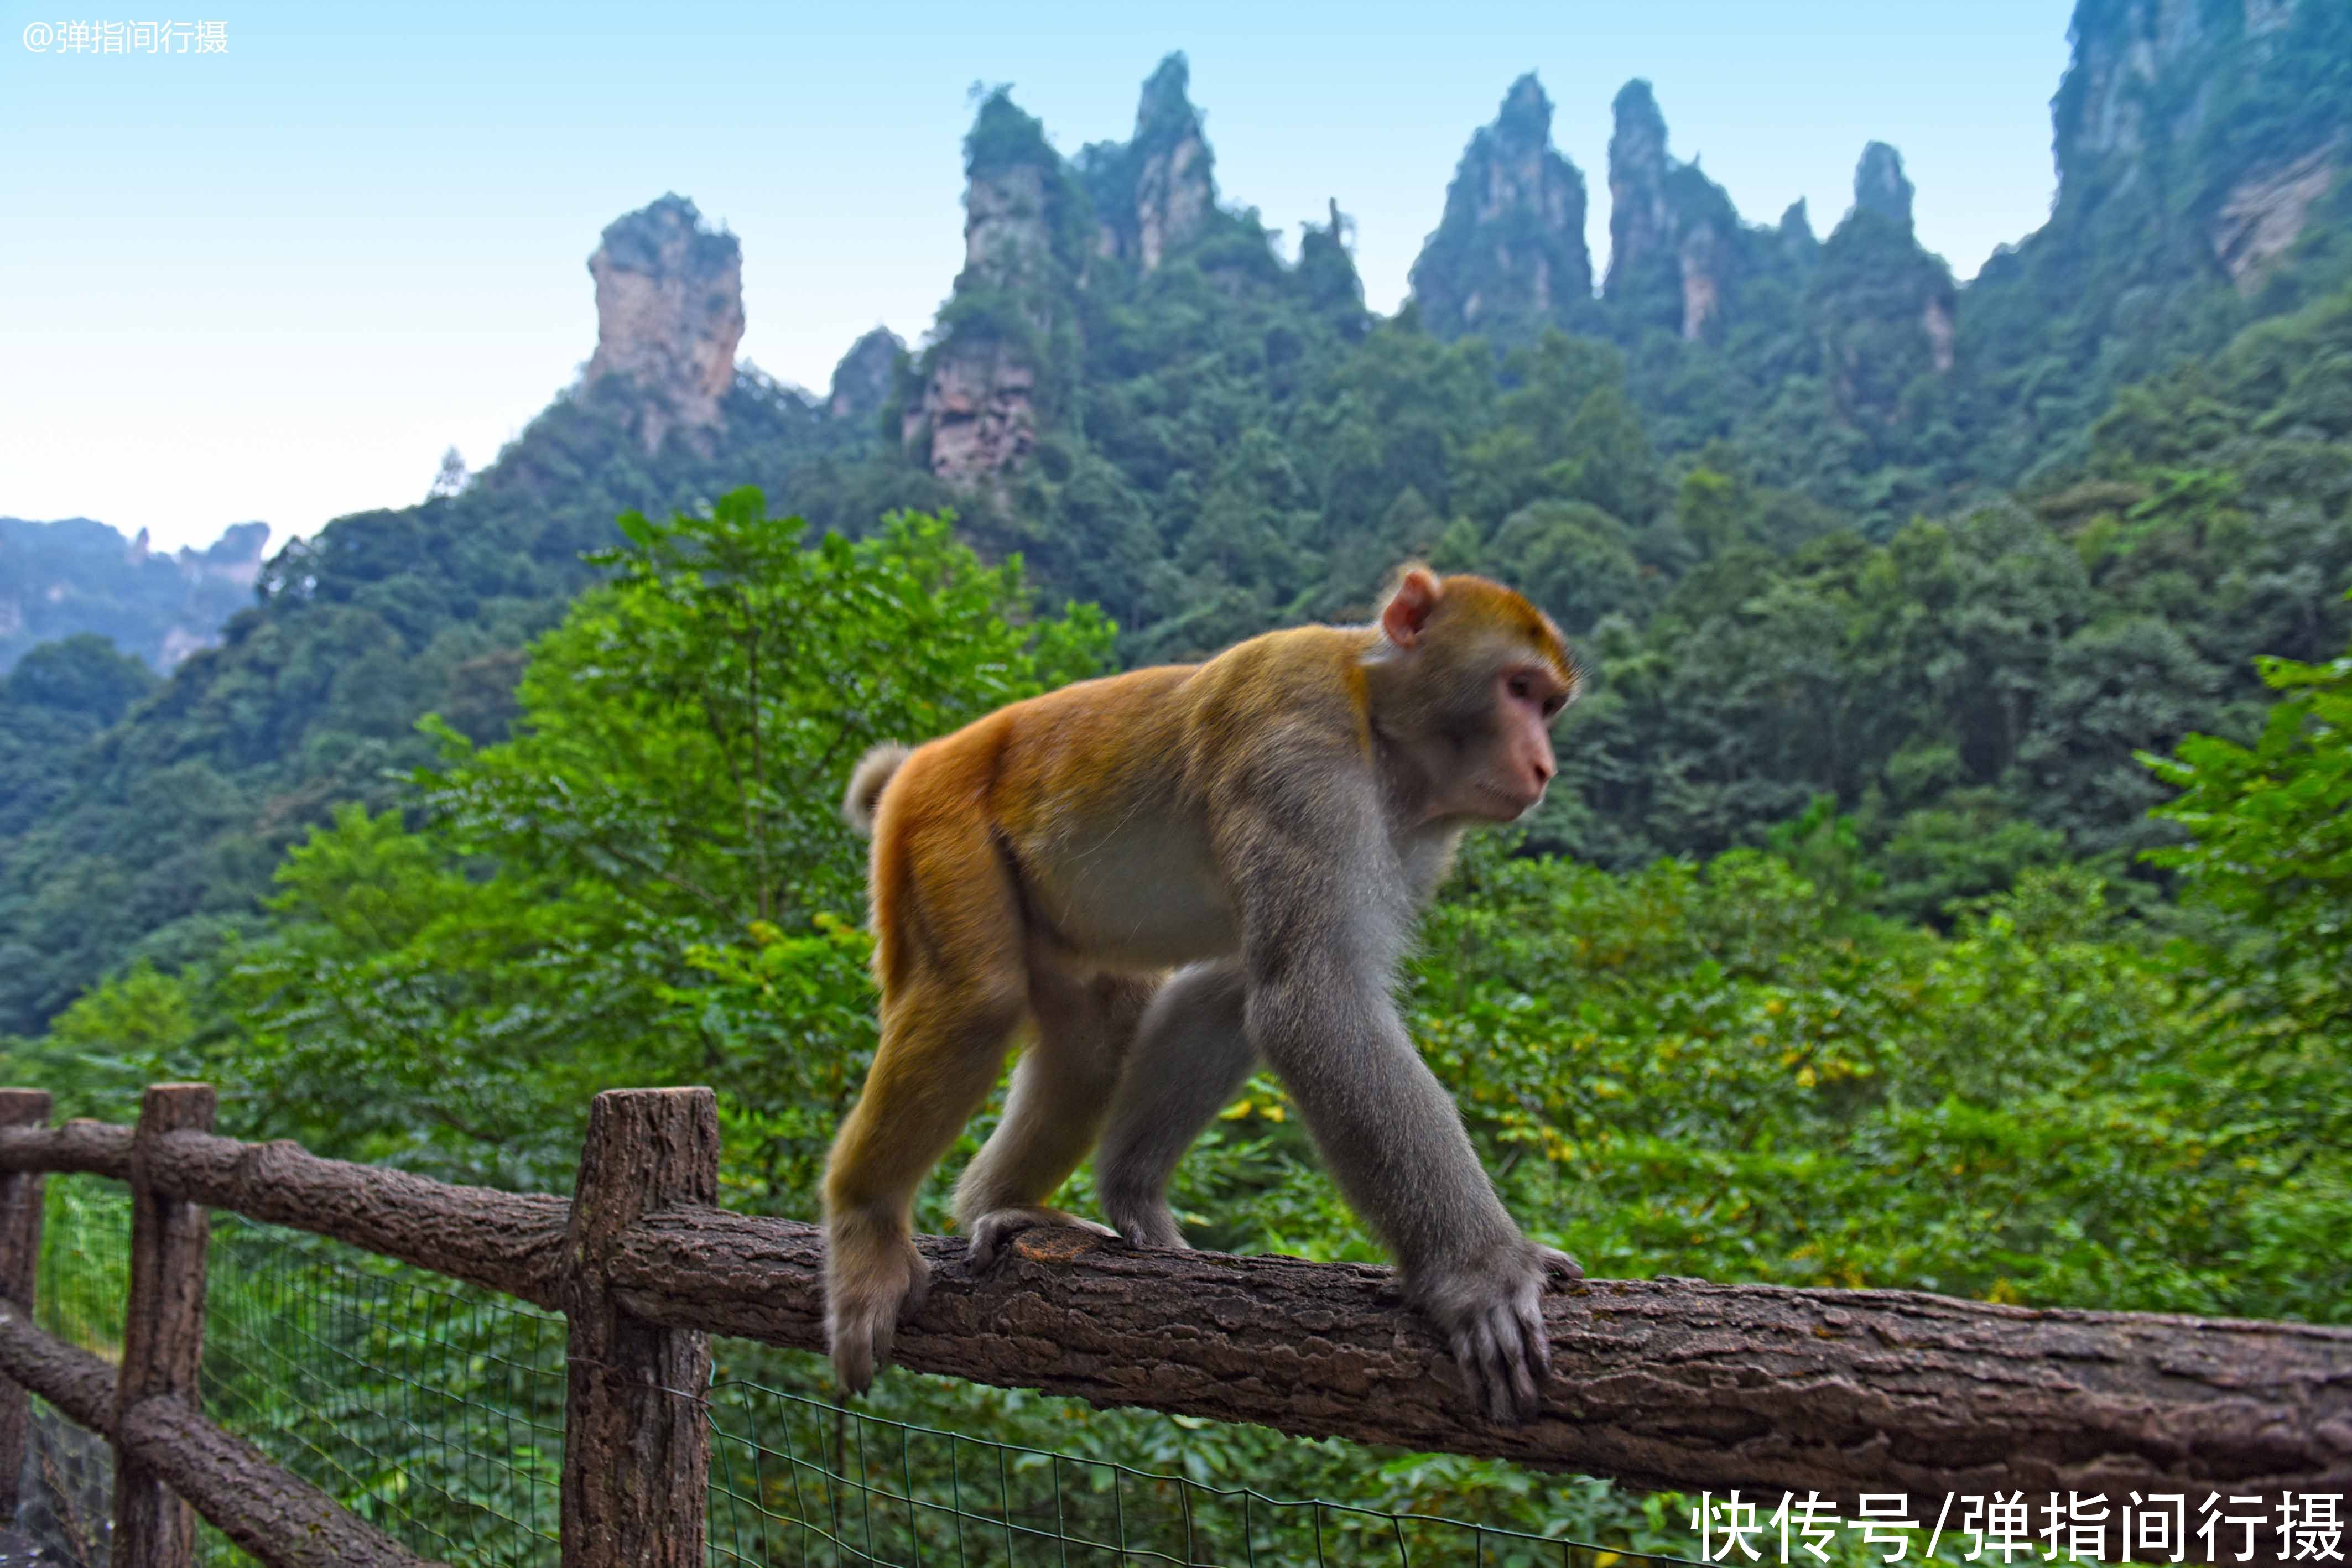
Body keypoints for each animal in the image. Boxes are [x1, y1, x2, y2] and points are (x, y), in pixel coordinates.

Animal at [823, 571, 1580, 1429]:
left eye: (1549, 704)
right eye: (1517, 689)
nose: (1543, 766)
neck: (1379, 719)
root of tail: (924, 758)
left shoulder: (1418, 833)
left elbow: (1237, 987)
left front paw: (1133, 1194)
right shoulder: (1295, 738)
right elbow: (1313, 996)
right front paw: (1481, 1275)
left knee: (1095, 1033)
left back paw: (1008, 1204)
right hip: (938, 824)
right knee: (974, 999)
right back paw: (864, 1221)